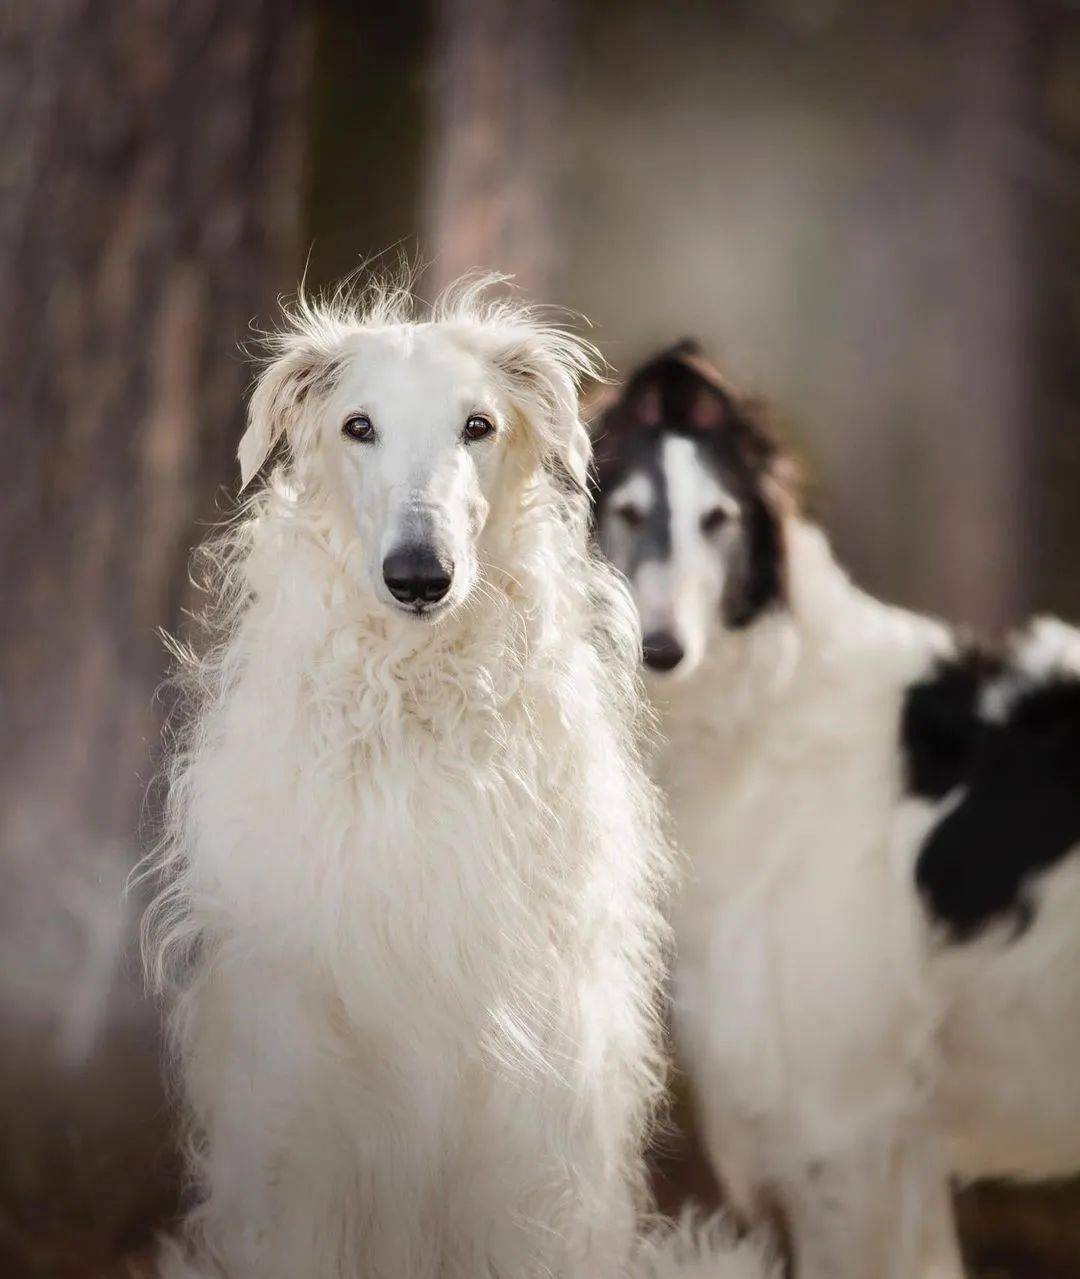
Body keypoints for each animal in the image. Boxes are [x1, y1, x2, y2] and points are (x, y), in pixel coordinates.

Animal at [141, 282, 778, 1279]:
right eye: (358, 424)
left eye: (478, 424)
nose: (419, 575)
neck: (417, 703)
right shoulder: (302, 1065)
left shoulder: (535, 1074)